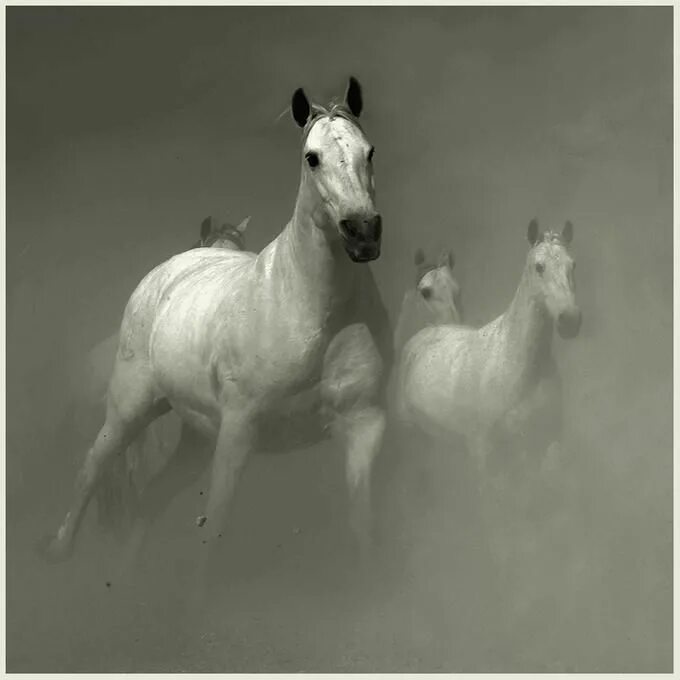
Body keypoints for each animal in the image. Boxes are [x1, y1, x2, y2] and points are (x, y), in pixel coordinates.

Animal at [40, 78, 390, 586]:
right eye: (312, 157)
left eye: (369, 151)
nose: (363, 232)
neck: (311, 311)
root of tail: (167, 271)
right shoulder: (239, 431)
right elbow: (216, 524)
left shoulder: (364, 423)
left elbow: (365, 524)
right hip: (130, 410)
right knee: (92, 466)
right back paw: (60, 550)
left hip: (196, 436)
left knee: (151, 498)